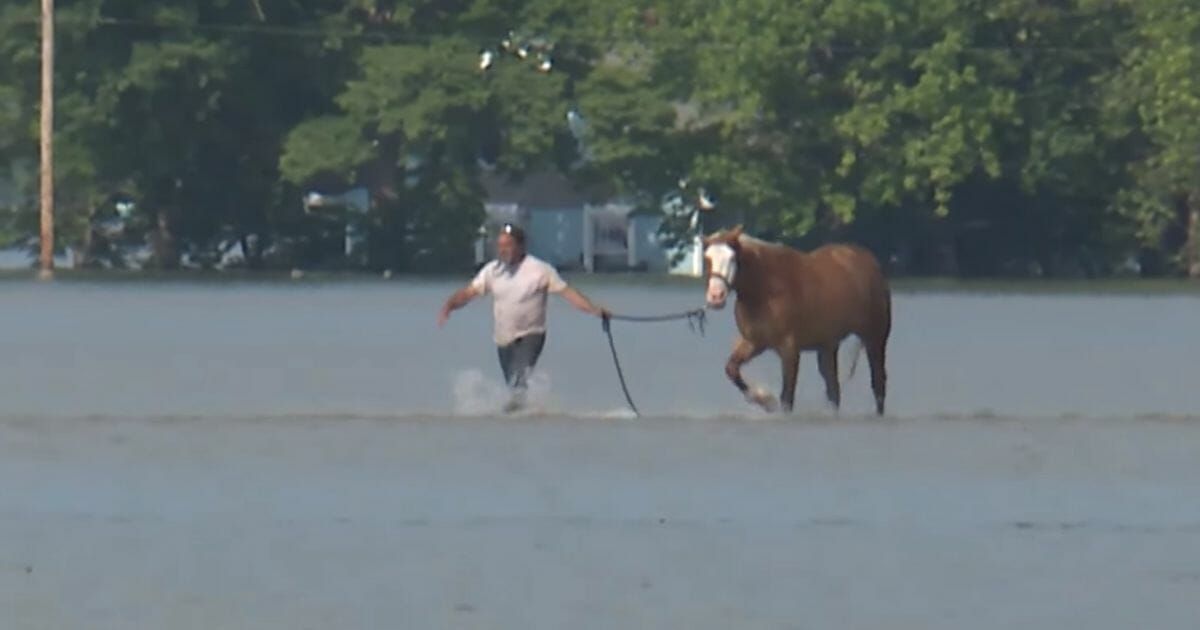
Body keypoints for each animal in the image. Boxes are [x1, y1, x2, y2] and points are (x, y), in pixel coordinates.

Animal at [700, 225, 892, 412]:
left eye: (732, 258)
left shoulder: (789, 349)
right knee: (834, 389)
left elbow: (787, 398)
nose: (716, 296)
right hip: (827, 346)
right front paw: (765, 399)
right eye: (707, 258)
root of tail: (869, 261)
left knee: (878, 383)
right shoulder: (754, 342)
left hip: (874, 337)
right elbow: (731, 369)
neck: (765, 289)